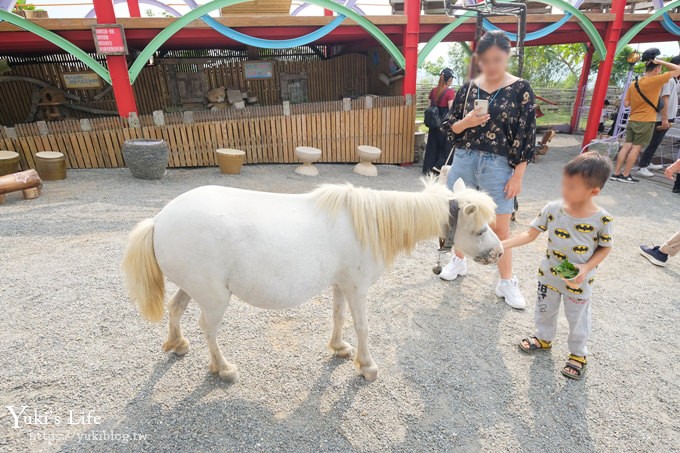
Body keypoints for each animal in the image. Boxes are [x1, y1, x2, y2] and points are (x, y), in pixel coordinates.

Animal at [122, 178, 502, 380]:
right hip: (215, 298)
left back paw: (177, 344)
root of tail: (159, 220)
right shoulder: (357, 288)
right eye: (480, 229)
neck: (368, 224)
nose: (498, 253)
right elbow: (363, 326)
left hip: (193, 288)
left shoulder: (341, 284)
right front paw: (367, 366)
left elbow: (338, 316)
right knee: (208, 329)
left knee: (175, 310)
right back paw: (224, 368)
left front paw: (339, 348)